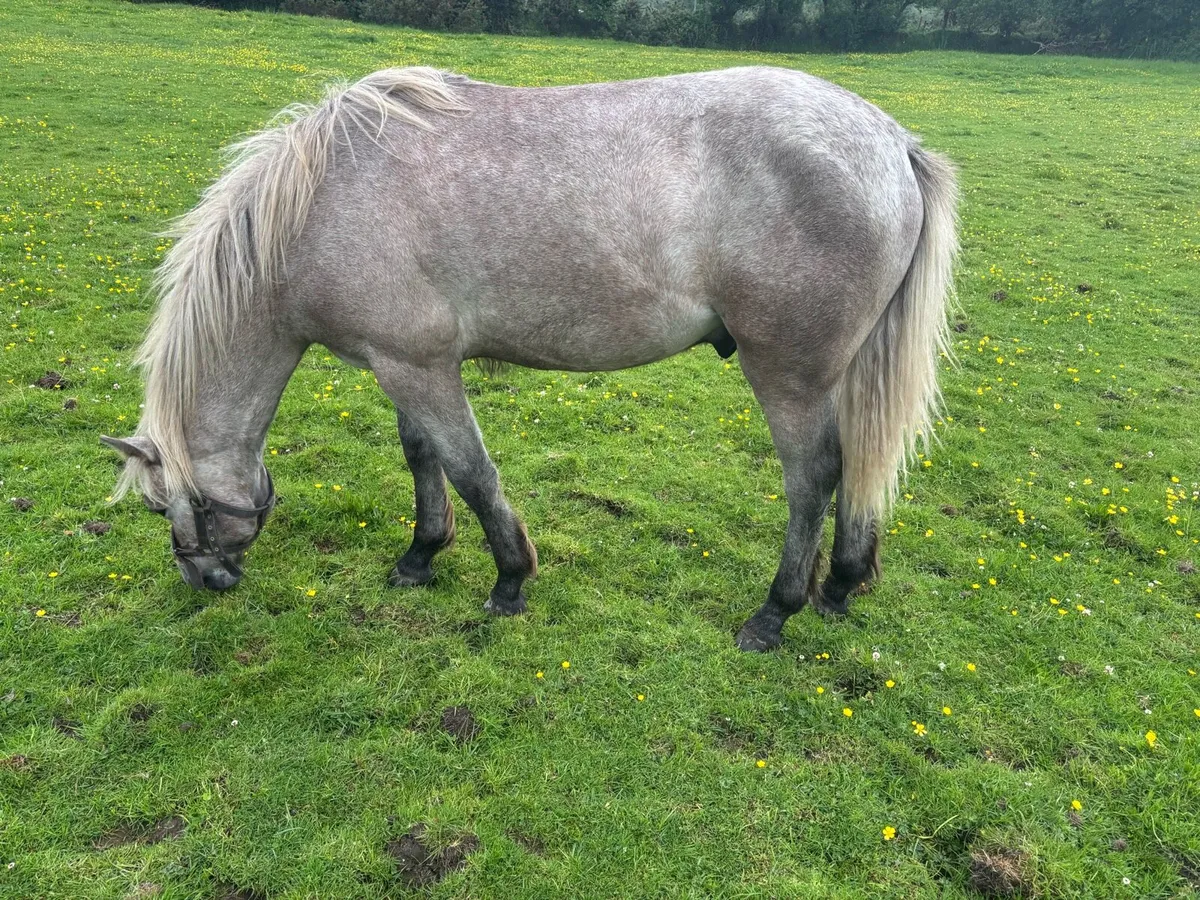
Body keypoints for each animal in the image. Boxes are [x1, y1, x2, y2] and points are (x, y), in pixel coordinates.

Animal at [102, 65, 957, 651]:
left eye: (162, 509)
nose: (205, 582)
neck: (319, 205)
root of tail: (891, 143)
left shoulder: (417, 367)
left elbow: (472, 471)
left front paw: (509, 578)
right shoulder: (403, 364)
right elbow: (423, 456)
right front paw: (421, 554)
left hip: (788, 373)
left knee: (814, 477)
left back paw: (775, 611)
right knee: (859, 467)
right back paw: (841, 583)